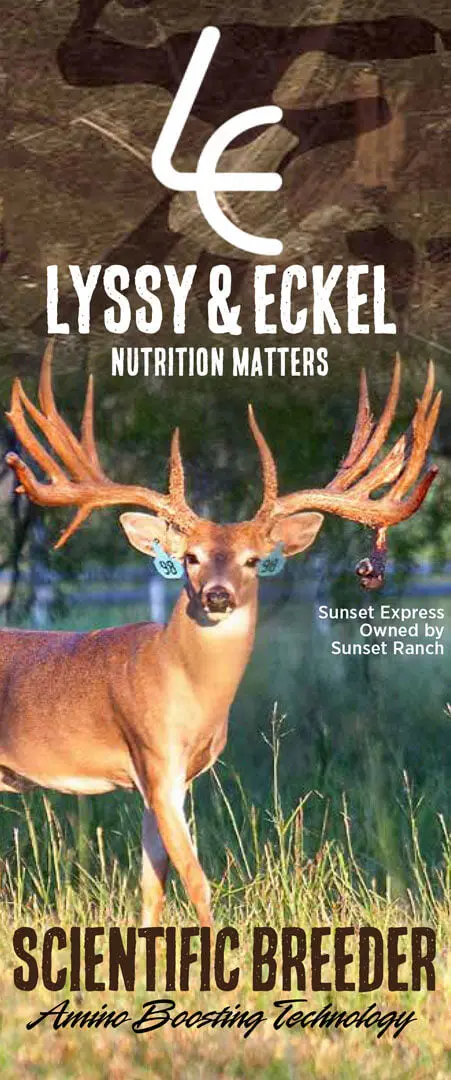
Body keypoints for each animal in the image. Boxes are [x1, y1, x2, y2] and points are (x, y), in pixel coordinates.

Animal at [0, 345, 441, 926]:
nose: (216, 596)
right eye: (189, 557)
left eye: (254, 560)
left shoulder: (174, 779)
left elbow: (153, 885)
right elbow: (196, 880)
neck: (180, 684)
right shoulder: (154, 756)